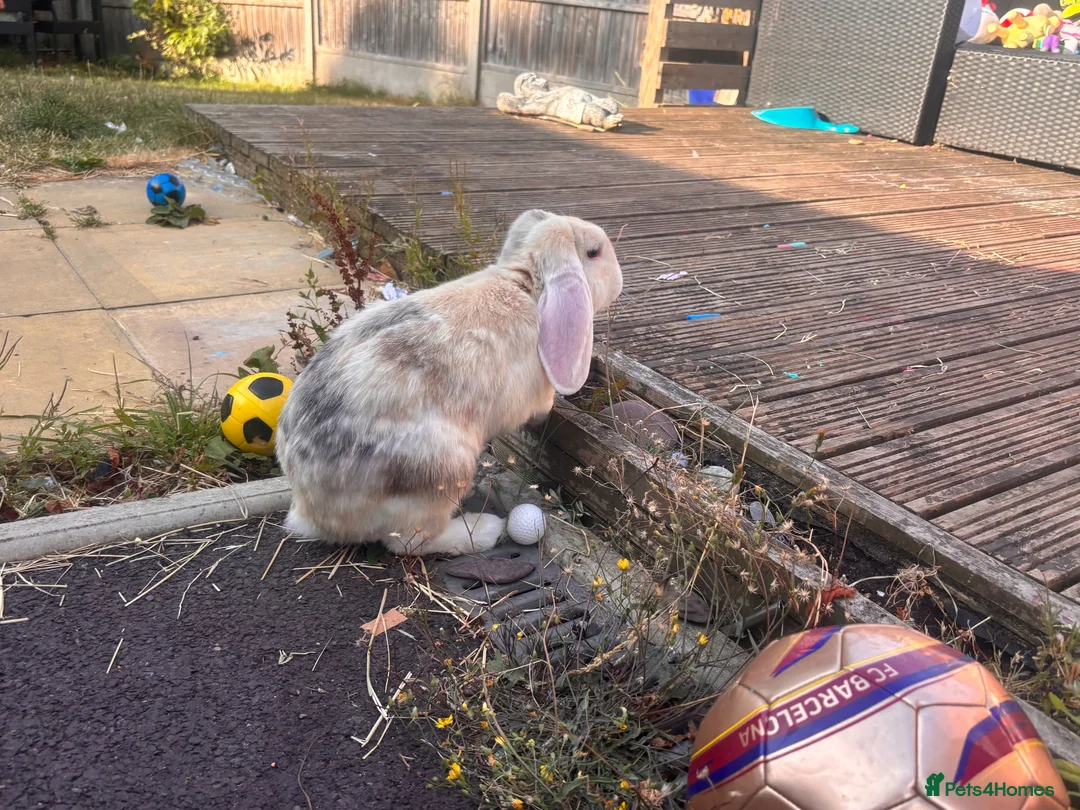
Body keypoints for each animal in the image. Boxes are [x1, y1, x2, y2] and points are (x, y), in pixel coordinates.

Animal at [275, 210, 623, 557]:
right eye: (594, 252)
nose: (620, 280)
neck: (526, 286)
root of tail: (311, 512)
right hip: (443, 470)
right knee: (409, 542)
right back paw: (485, 530)